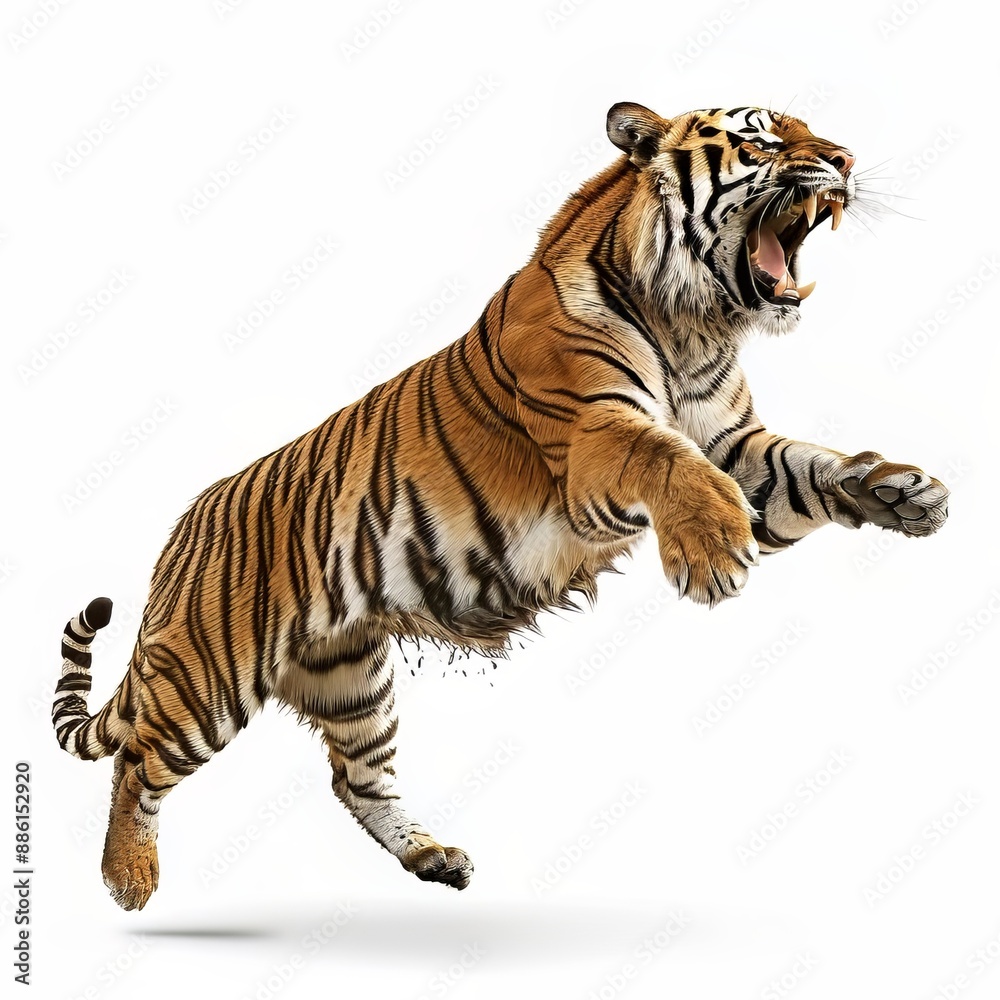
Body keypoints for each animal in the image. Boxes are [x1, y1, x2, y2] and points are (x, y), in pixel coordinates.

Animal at [52, 101, 949, 911]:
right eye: (763, 137)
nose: (844, 158)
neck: (694, 322)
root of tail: (185, 526)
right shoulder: (593, 442)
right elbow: (664, 456)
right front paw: (711, 554)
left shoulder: (740, 450)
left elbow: (815, 465)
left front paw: (905, 491)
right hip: (208, 676)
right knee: (137, 761)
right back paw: (128, 880)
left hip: (352, 679)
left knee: (357, 780)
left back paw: (434, 860)